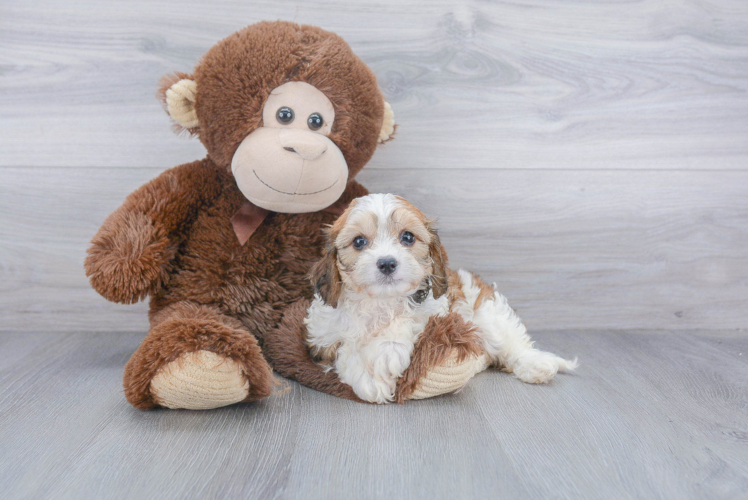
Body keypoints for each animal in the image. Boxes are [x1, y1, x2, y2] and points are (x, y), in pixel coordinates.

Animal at [306, 193, 580, 404]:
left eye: (407, 237)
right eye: (359, 241)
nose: (386, 263)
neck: (381, 301)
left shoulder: (438, 309)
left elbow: (409, 319)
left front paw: (386, 352)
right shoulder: (323, 337)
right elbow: (346, 346)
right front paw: (369, 379)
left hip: (488, 315)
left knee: (511, 345)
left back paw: (536, 365)